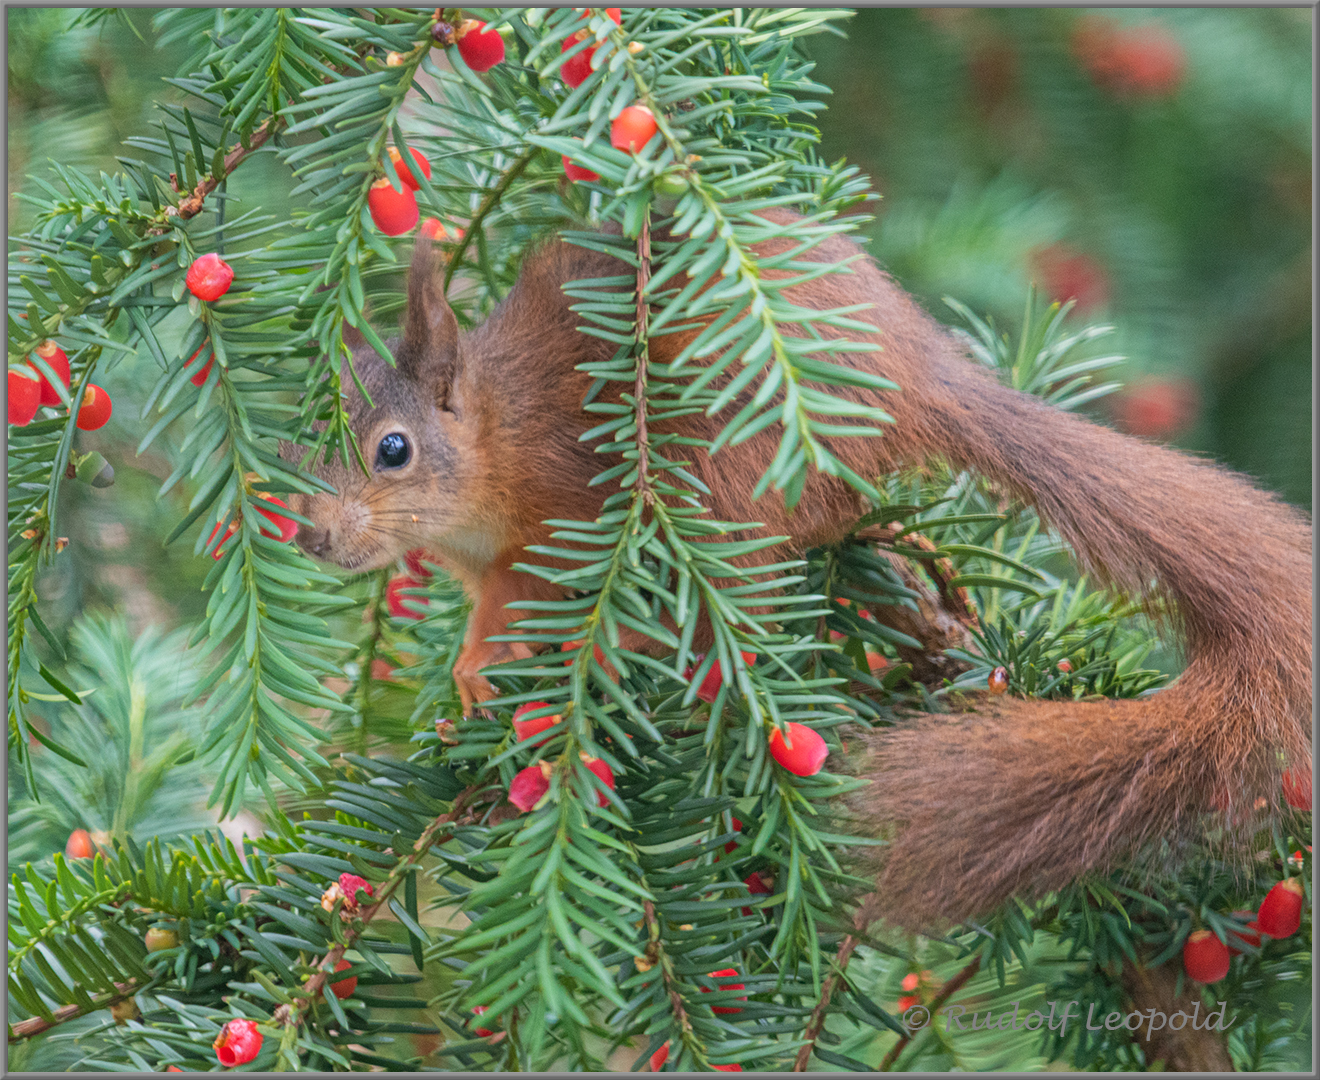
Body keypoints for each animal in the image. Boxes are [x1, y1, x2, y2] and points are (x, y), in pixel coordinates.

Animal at [286, 209, 1309, 924]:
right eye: (292, 450)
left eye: (391, 451)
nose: (312, 540)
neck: (493, 438)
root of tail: (920, 380)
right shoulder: (487, 565)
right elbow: (483, 619)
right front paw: (465, 680)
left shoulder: (564, 510)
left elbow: (546, 604)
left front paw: (511, 675)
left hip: (734, 469)